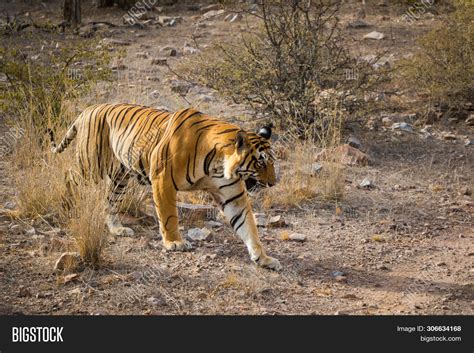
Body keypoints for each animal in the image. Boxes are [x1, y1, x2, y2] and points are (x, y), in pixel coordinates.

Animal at [51, 102, 282, 270]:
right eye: (261, 163)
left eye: (272, 162)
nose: (272, 183)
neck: (218, 165)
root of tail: (89, 108)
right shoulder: (163, 181)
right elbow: (169, 216)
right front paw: (175, 243)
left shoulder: (232, 195)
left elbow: (248, 226)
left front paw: (263, 258)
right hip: (91, 165)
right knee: (70, 176)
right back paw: (66, 206)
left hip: (120, 177)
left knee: (109, 202)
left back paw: (117, 229)